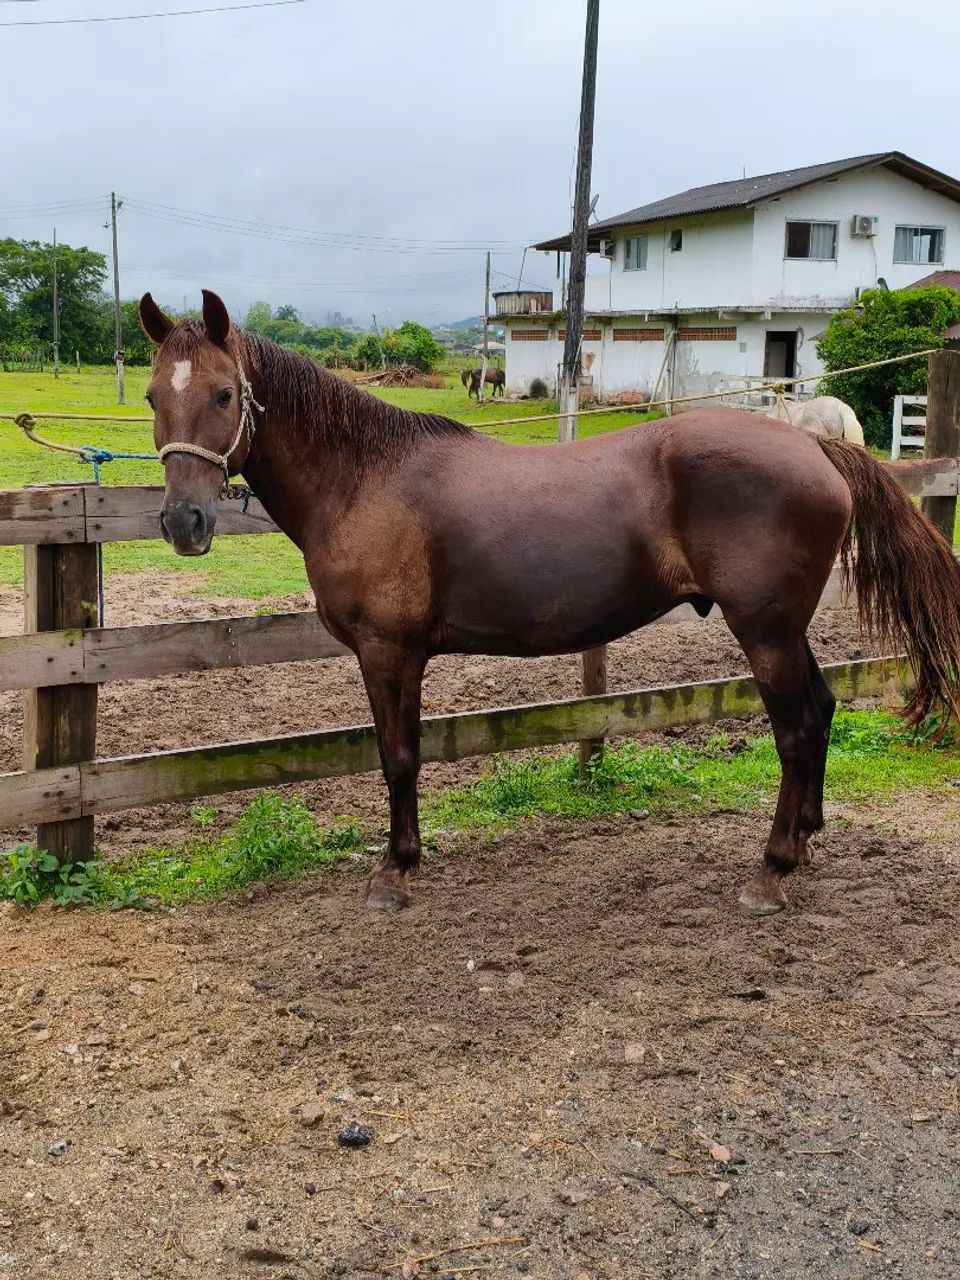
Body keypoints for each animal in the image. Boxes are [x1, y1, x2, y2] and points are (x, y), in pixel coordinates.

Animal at [141, 290, 960, 919]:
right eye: (154, 396)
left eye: (223, 394)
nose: (184, 523)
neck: (364, 476)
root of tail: (819, 448)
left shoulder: (388, 651)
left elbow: (398, 757)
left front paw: (395, 871)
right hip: (785, 630)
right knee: (821, 710)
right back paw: (808, 840)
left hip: (764, 631)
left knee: (794, 731)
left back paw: (773, 868)